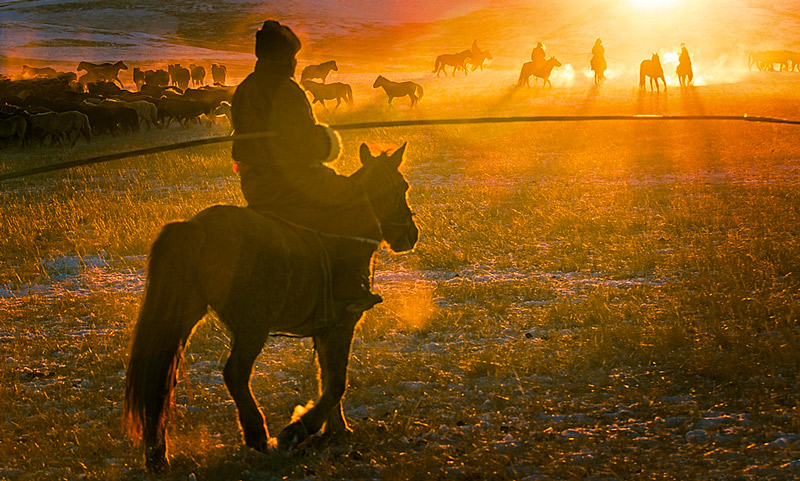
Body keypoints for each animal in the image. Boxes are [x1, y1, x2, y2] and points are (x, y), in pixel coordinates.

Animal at [123, 142, 418, 472]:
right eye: (403, 186)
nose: (411, 235)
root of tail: (194, 227)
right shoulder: (341, 326)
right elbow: (336, 382)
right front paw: (300, 429)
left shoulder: (325, 332)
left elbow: (327, 377)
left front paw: (337, 429)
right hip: (252, 326)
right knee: (234, 373)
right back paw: (257, 434)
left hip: (185, 316)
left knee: (160, 380)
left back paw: (157, 455)